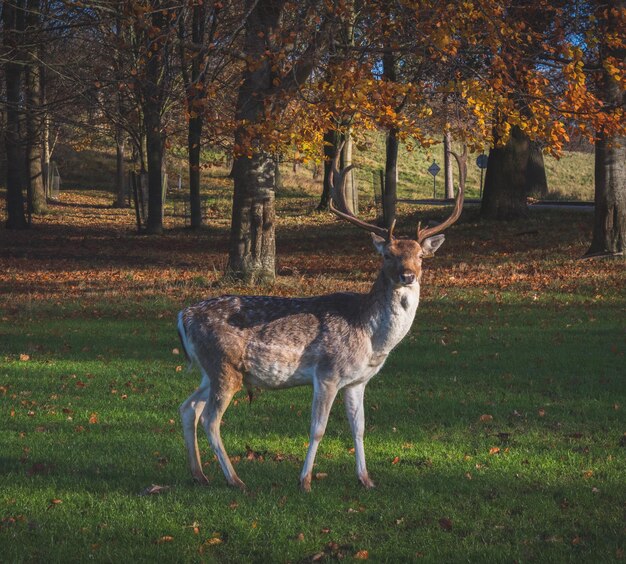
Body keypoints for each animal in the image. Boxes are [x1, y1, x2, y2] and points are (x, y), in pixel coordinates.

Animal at [176, 144, 464, 490]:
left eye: (421, 256)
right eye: (387, 255)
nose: (407, 275)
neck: (371, 338)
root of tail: (183, 316)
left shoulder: (358, 381)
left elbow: (359, 428)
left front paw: (366, 479)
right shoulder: (327, 372)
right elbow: (318, 429)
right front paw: (305, 480)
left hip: (210, 370)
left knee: (188, 407)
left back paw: (199, 473)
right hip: (224, 366)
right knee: (209, 418)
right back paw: (234, 479)